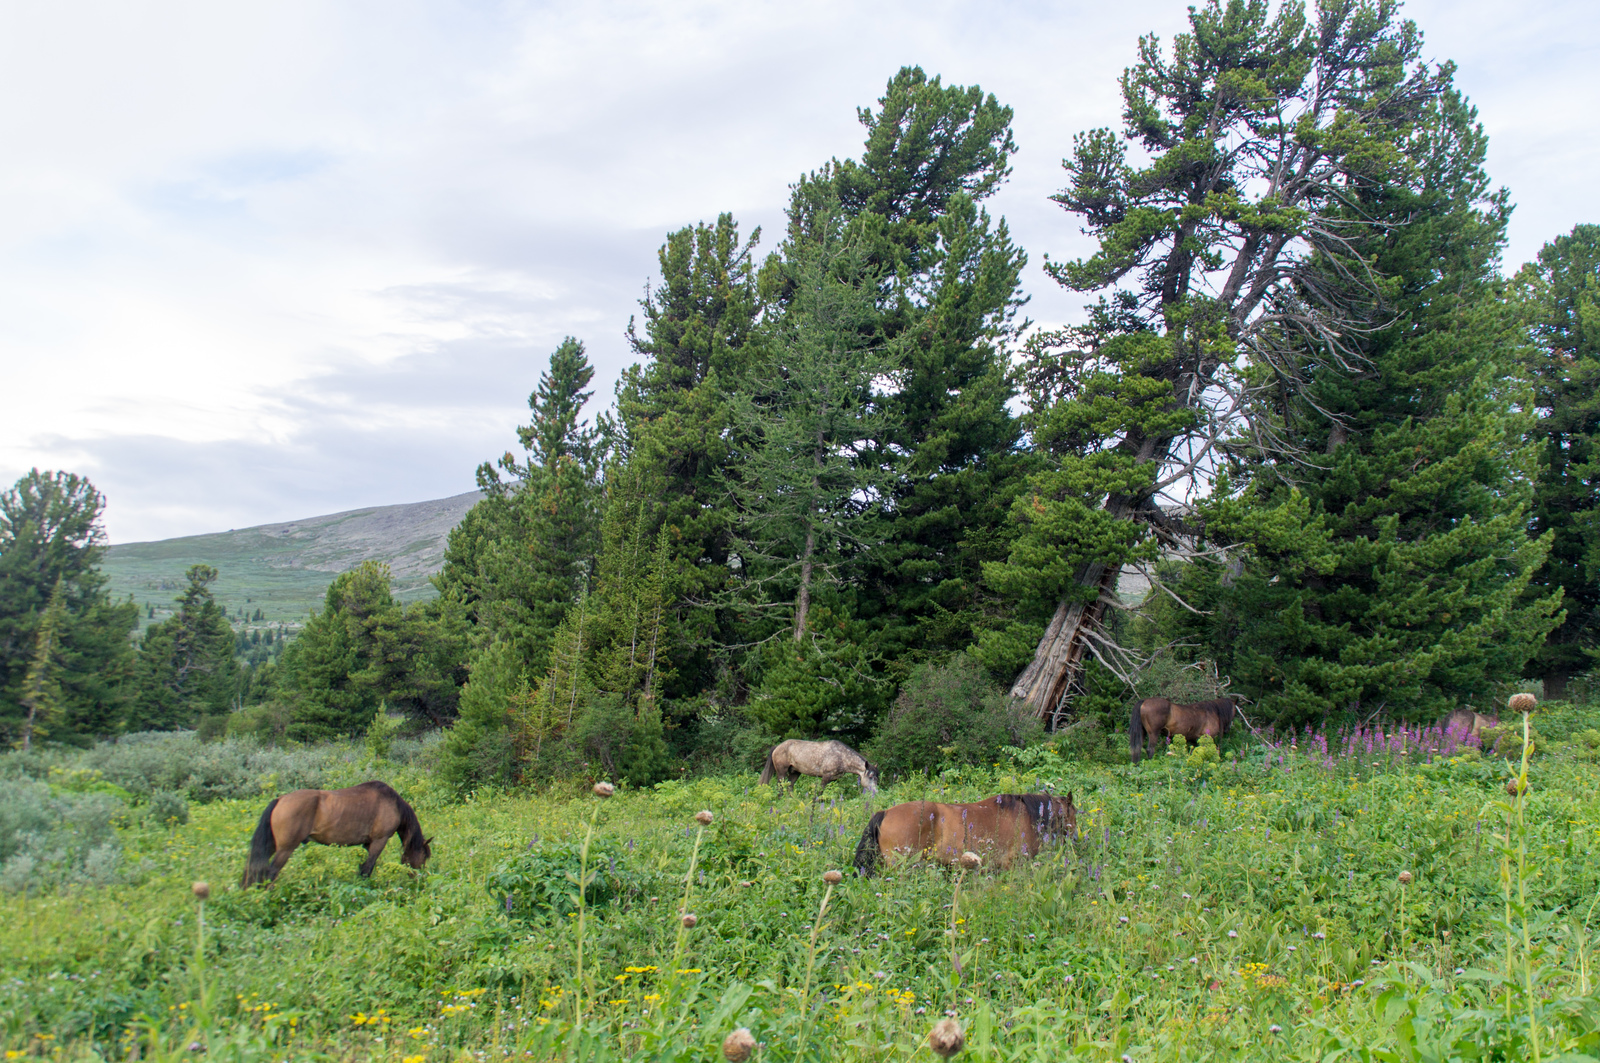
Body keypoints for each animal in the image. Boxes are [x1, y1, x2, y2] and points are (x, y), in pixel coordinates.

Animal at [238, 781, 432, 890]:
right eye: (424, 857)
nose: (420, 880)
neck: (393, 804)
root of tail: (280, 800)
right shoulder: (379, 841)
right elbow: (367, 868)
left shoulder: (368, 844)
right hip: (285, 849)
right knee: (271, 872)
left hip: (271, 846)